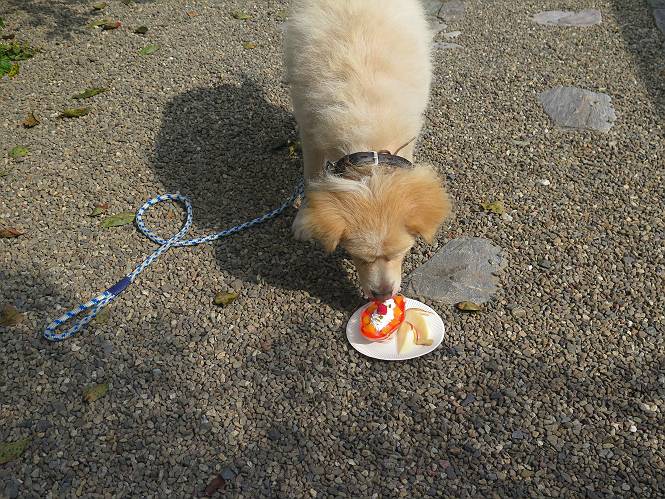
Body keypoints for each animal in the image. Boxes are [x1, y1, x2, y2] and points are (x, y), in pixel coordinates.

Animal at [284, 0, 451, 301]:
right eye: (359, 257)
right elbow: (311, 177)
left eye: (401, 253)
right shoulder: (309, 129)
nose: (383, 295)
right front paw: (304, 219)